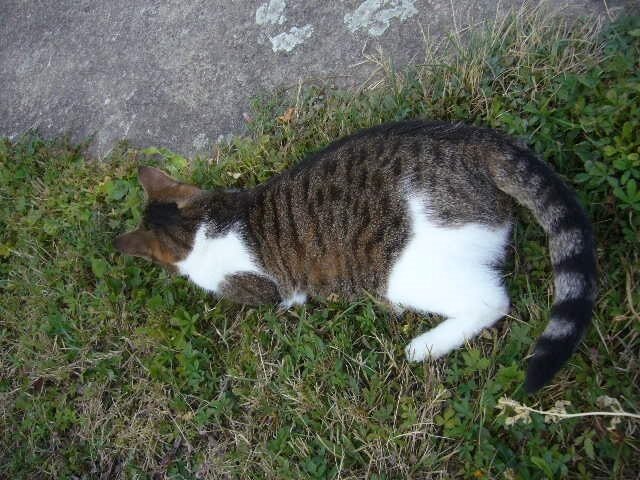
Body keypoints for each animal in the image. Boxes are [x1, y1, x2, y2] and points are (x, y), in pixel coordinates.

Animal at [116, 121, 600, 394]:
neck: (203, 224)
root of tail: (474, 144)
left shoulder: (265, 291)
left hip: (403, 273)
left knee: (492, 300)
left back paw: (425, 347)